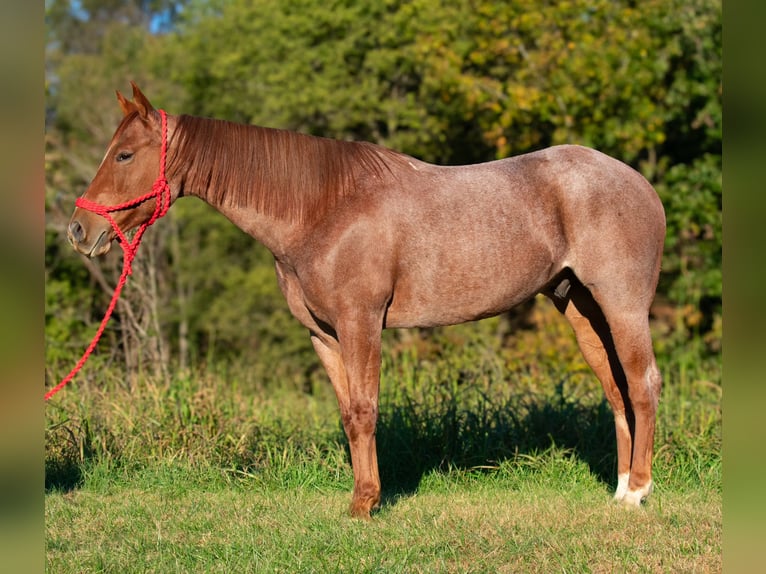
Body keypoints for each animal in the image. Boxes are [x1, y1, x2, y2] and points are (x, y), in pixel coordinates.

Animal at [67, 83, 664, 520]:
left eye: (124, 154)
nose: (78, 229)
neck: (322, 208)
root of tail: (641, 184)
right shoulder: (324, 334)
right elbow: (348, 414)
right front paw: (360, 498)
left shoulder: (362, 323)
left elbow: (364, 409)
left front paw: (365, 506)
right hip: (580, 307)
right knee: (616, 391)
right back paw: (618, 491)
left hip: (621, 305)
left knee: (642, 383)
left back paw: (638, 490)